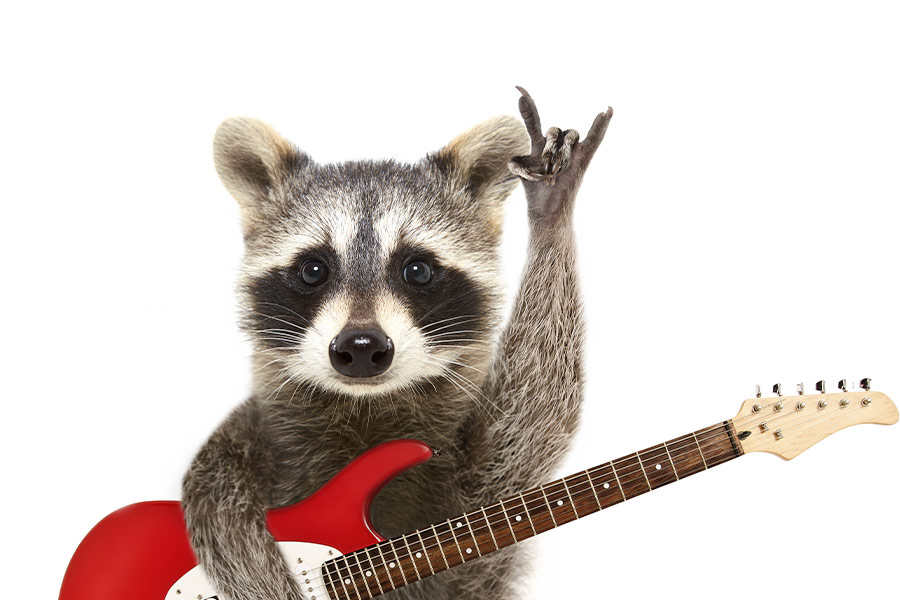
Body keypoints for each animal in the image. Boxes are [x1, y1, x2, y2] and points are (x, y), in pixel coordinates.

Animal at [181, 88, 613, 600]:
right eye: (313, 269)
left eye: (418, 270)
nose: (361, 346)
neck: (367, 407)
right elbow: (213, 485)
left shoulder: (476, 497)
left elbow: (531, 425)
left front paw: (551, 212)